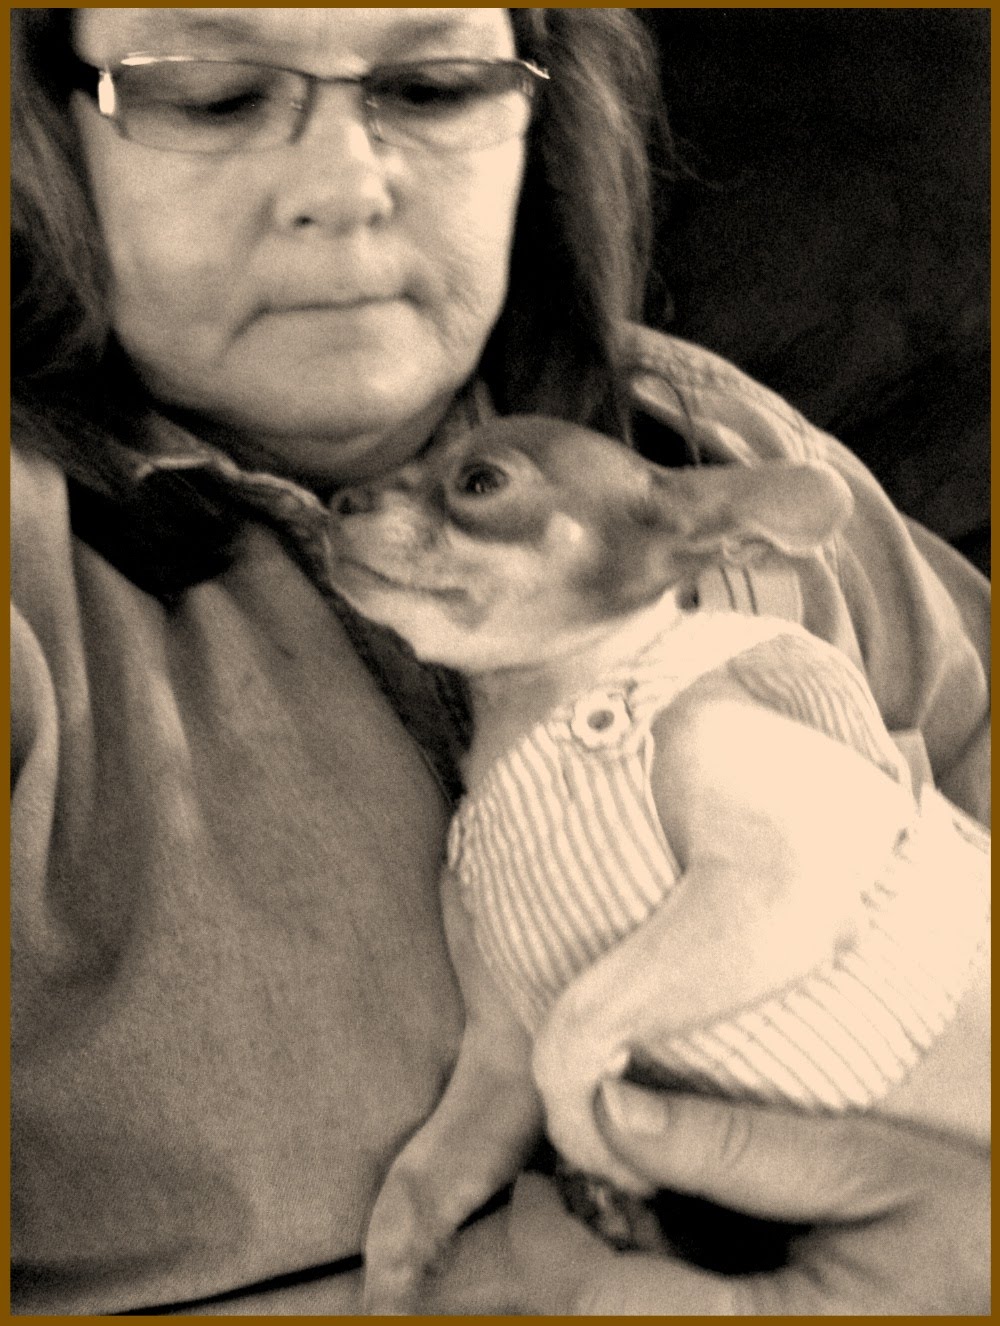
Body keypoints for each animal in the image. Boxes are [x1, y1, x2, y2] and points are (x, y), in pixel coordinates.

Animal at [327, 415, 990, 1313]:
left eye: (480, 482)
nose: (338, 499)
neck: (536, 715)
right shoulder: (497, 1056)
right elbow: (417, 1183)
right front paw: (393, 1288)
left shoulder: (792, 866)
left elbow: (575, 1019)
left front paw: (595, 1144)